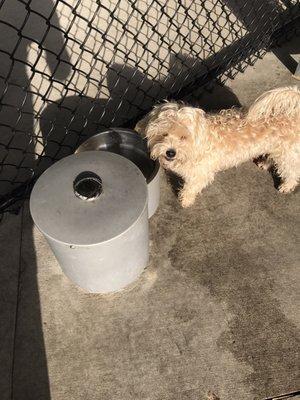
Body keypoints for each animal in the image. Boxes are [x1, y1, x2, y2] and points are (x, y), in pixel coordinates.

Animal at [136, 86, 300, 208]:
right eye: (163, 134)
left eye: (183, 137)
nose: (170, 152)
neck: (197, 145)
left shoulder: (200, 173)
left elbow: (191, 187)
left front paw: (185, 200)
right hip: (276, 149)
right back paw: (265, 164)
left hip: (288, 154)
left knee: (292, 170)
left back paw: (287, 185)